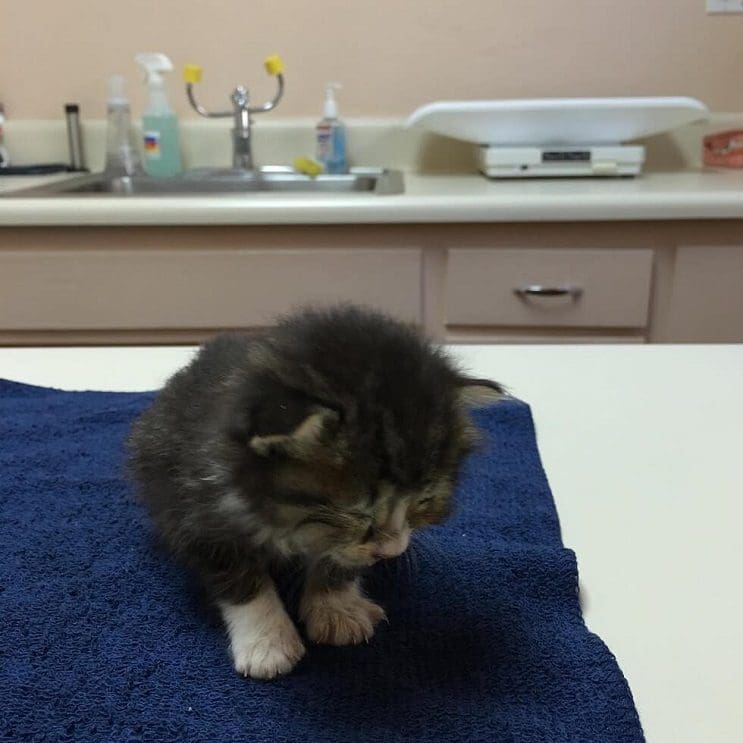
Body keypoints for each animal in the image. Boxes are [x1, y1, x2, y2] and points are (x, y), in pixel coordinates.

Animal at [126, 304, 506, 680]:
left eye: (423, 501)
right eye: (356, 512)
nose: (392, 551)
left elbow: (341, 556)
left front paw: (336, 609)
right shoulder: (196, 508)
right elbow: (239, 576)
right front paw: (268, 642)